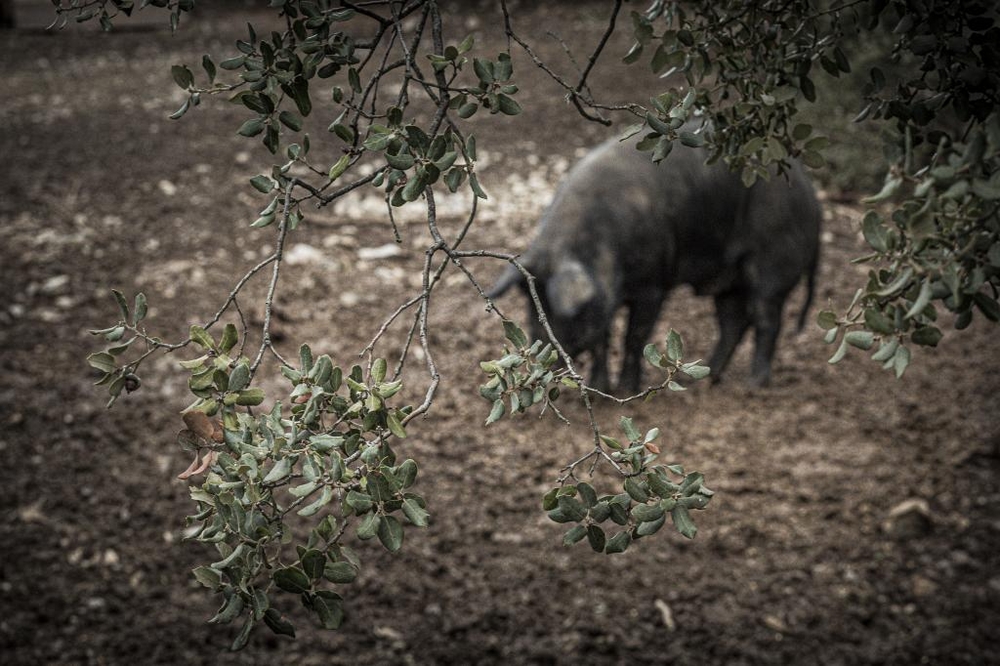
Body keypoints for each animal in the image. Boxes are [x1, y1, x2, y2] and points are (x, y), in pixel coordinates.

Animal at [484, 133, 820, 392]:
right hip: (731, 278)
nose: (541, 362)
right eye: (532, 308)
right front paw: (598, 390)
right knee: (733, 322)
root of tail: (811, 195)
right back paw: (706, 381)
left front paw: (625, 390)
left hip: (774, 259)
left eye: (559, 312)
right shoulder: (604, 303)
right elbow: (602, 339)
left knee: (766, 319)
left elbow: (634, 337)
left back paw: (754, 385)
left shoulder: (653, 285)